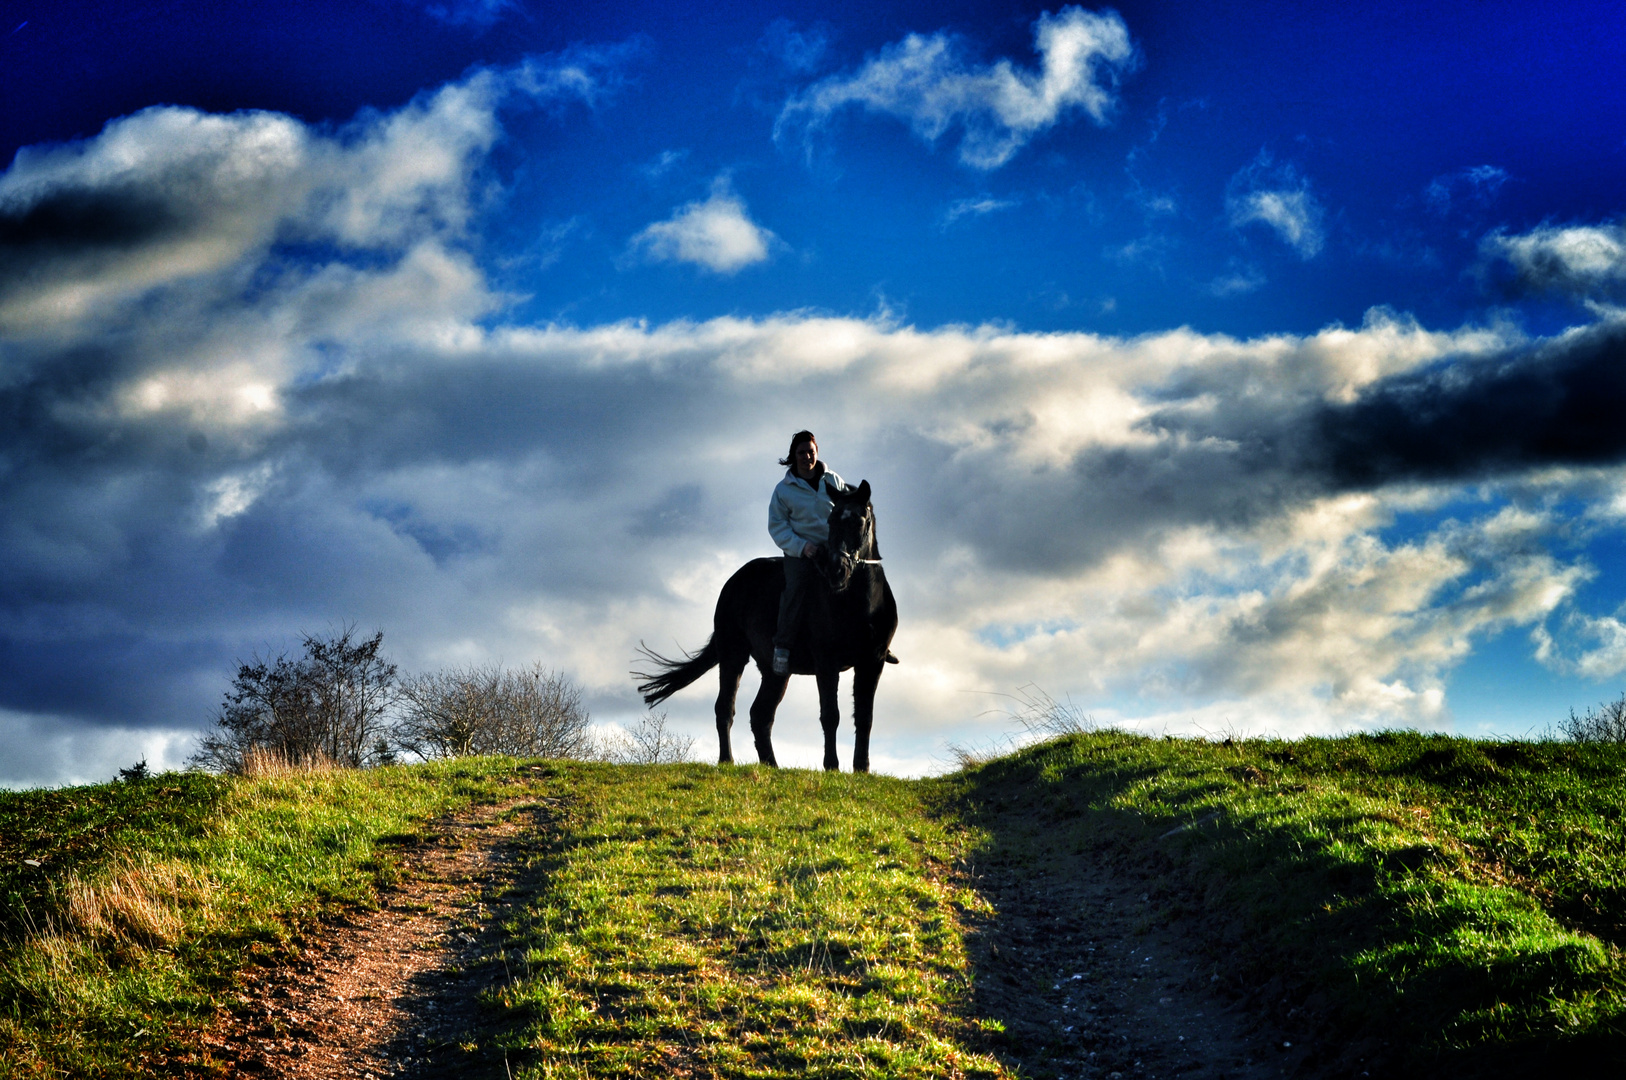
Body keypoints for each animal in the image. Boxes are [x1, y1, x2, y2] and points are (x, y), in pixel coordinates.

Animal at [634, 478, 897, 767]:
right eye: (832, 520)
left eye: (860, 521)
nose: (837, 570)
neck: (858, 604)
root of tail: (734, 581)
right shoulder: (826, 662)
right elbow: (830, 716)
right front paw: (832, 766)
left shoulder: (871, 662)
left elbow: (864, 717)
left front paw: (861, 768)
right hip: (733, 656)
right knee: (725, 708)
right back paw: (727, 760)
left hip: (774, 672)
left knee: (760, 715)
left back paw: (772, 765)